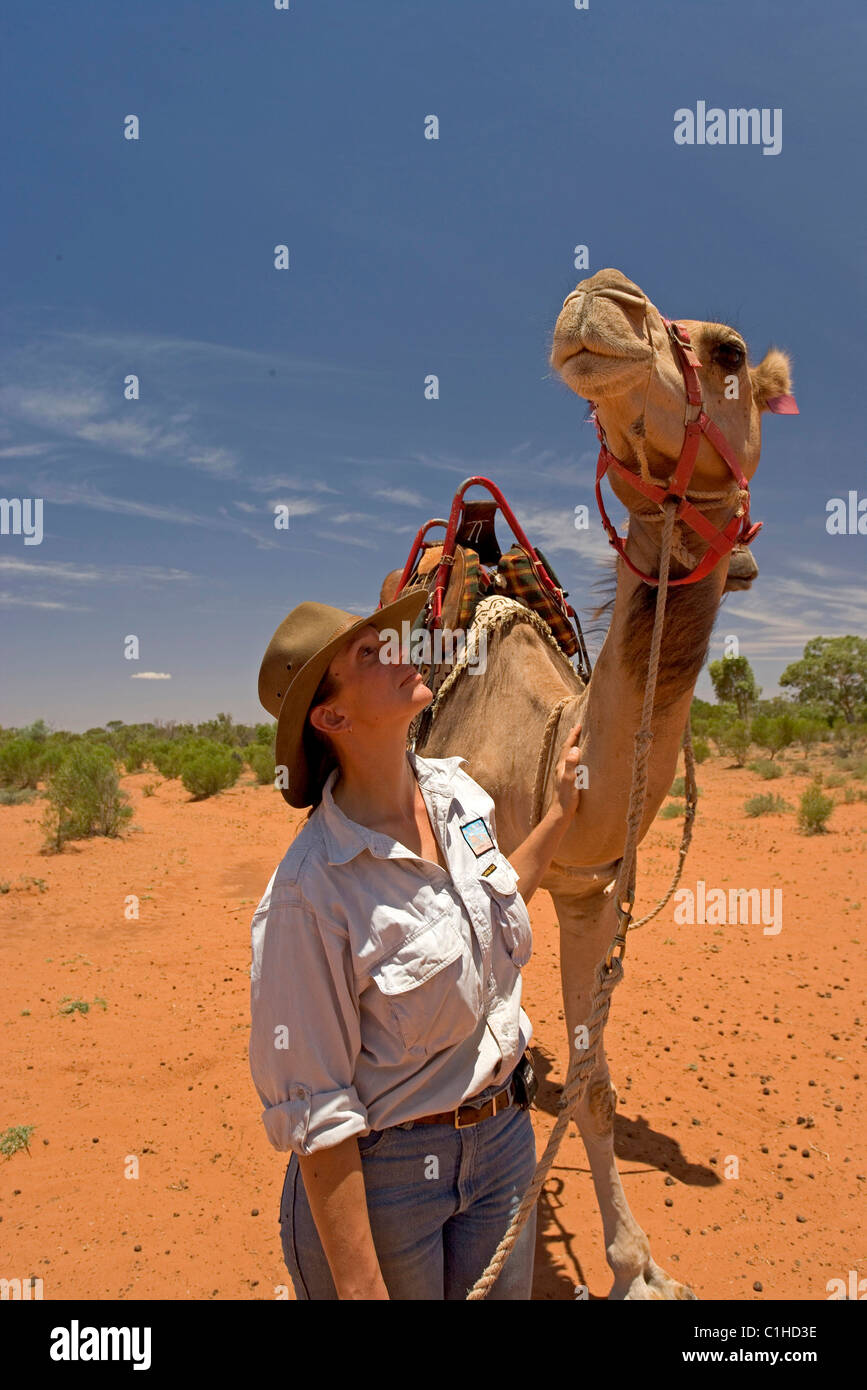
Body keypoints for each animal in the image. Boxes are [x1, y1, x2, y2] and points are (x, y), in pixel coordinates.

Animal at [385, 268, 795, 1299]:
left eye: (728, 351)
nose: (598, 296)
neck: (546, 751)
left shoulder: (585, 890)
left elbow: (594, 1083)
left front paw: (638, 1264)